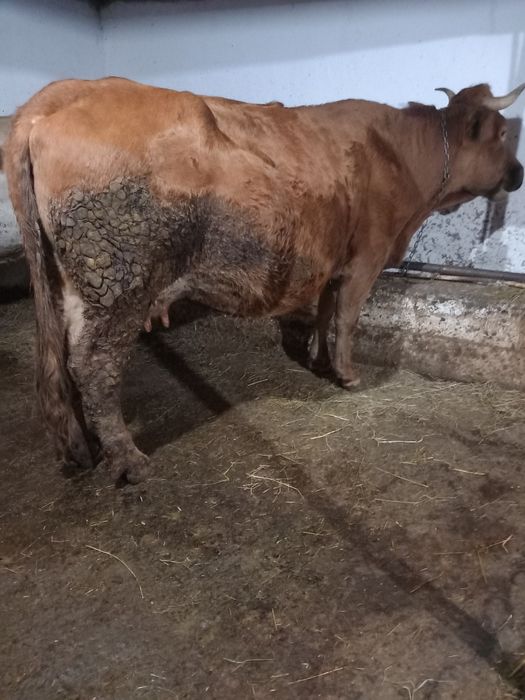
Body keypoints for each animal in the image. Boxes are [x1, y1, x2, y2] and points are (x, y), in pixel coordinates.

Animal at [5, 77, 524, 483]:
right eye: (502, 133)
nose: (518, 174)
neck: (399, 154)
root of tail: (61, 94)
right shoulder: (368, 257)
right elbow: (348, 317)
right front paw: (347, 374)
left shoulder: (331, 259)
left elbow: (323, 310)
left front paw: (315, 358)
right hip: (118, 282)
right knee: (94, 365)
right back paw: (127, 458)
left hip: (68, 284)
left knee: (62, 360)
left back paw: (81, 447)